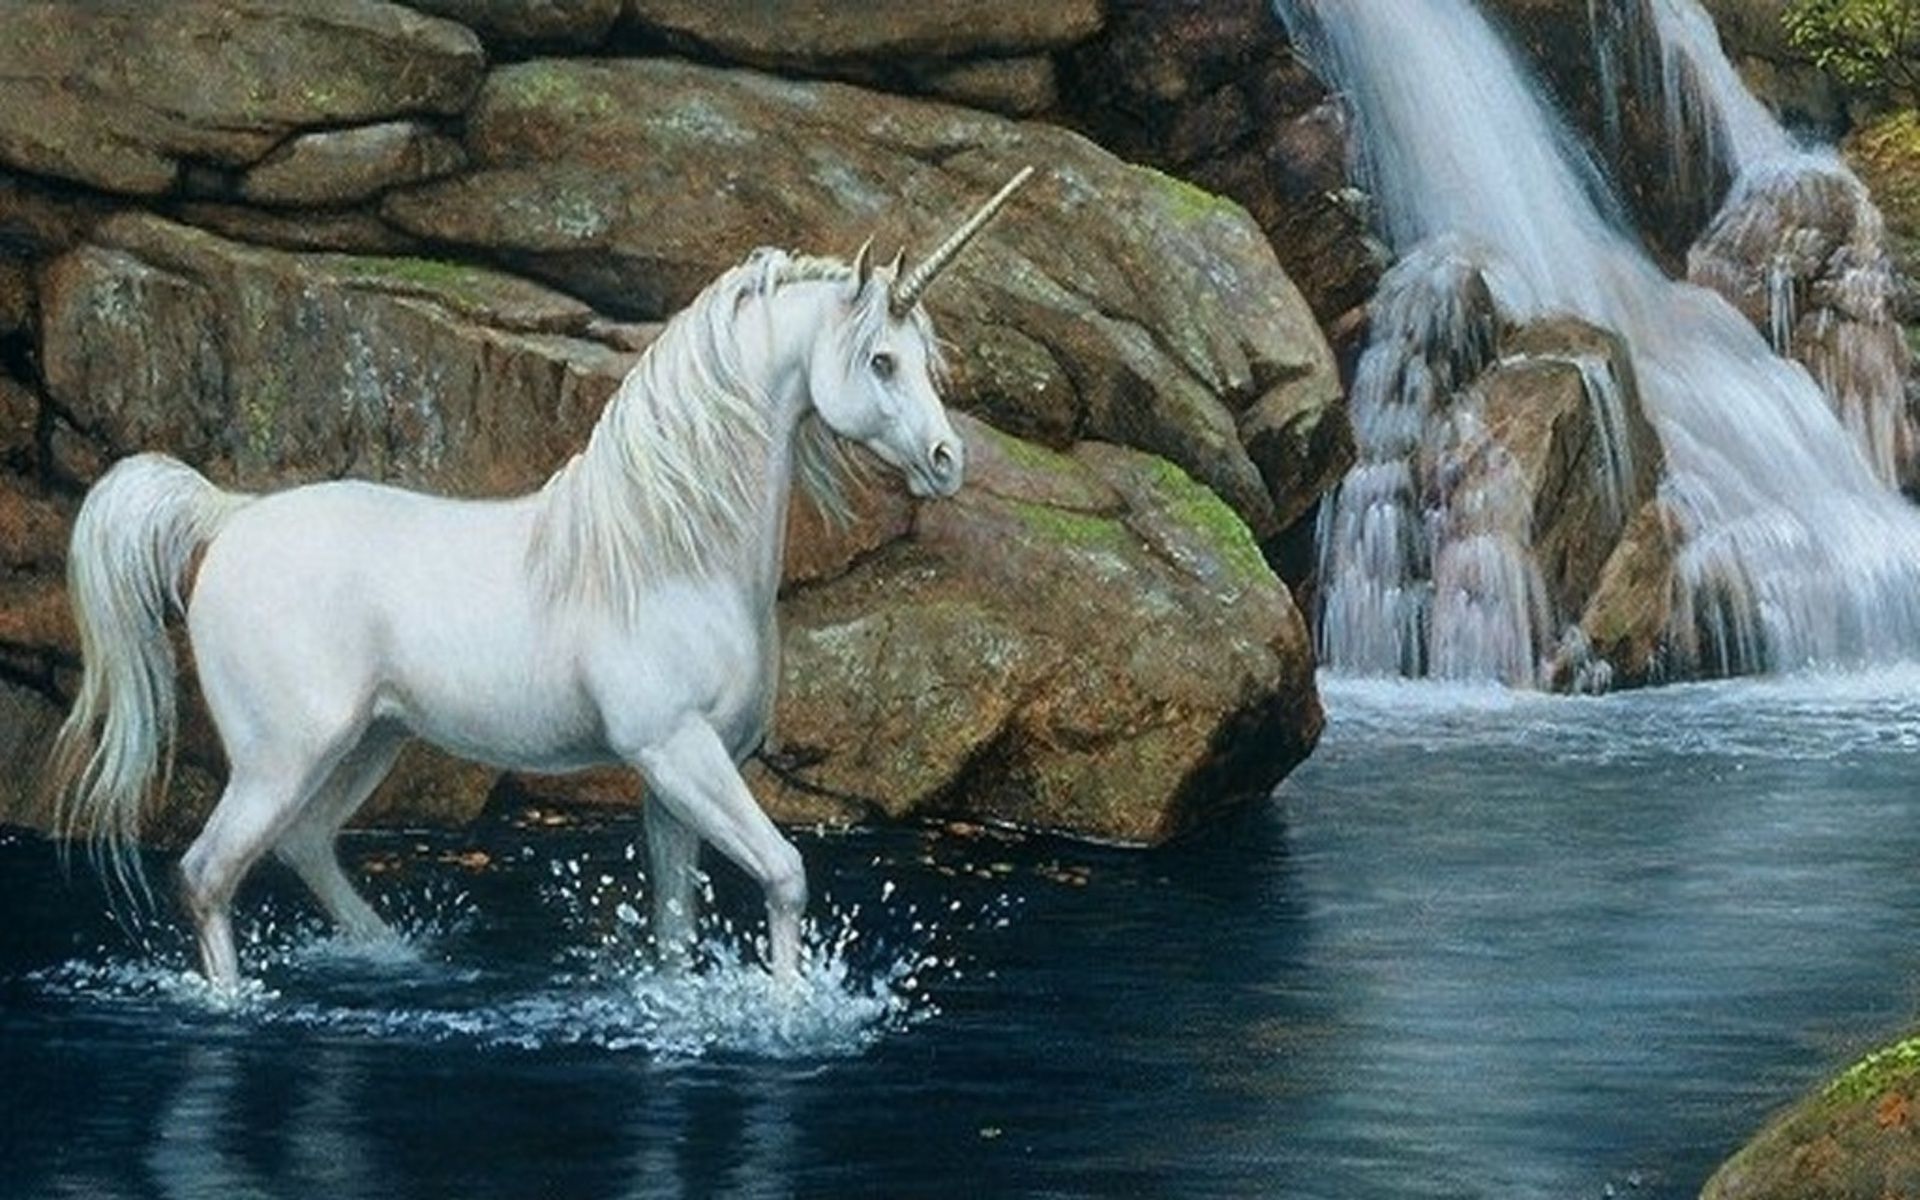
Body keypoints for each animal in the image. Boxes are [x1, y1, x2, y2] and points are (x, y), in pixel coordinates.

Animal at [48, 167, 1035, 992]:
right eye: (880, 361)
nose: (947, 461)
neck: (668, 554)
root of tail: (230, 518)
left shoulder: (672, 778)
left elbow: (676, 923)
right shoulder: (678, 751)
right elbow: (785, 875)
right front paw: (787, 1012)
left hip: (366, 743)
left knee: (305, 846)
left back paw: (396, 960)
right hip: (283, 753)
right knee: (207, 874)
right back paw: (234, 1003)